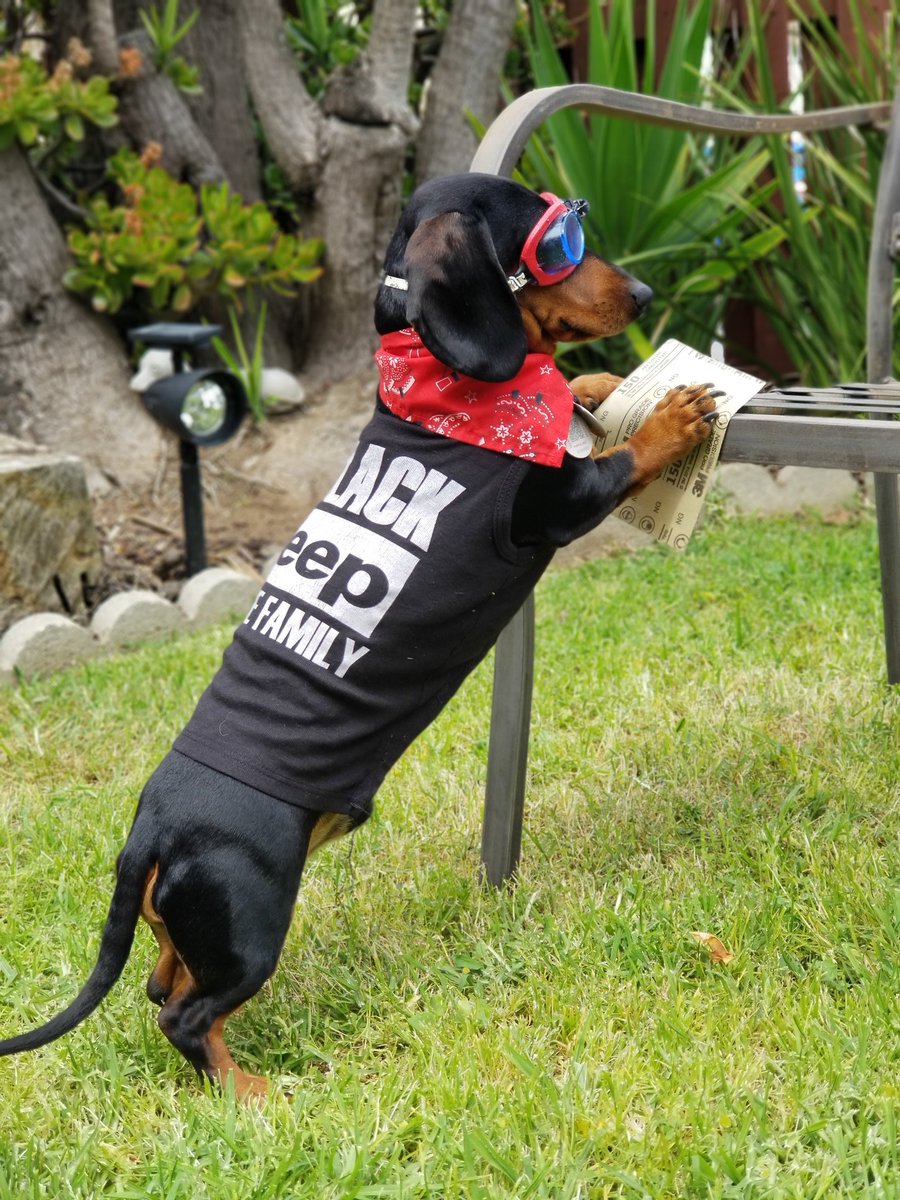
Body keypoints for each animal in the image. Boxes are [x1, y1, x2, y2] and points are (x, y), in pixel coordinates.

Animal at [0, 174, 720, 1099]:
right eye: (556, 244)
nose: (644, 294)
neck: (440, 382)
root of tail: (150, 830)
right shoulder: (561, 502)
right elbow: (622, 457)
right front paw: (672, 411)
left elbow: (577, 397)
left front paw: (598, 383)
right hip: (253, 920)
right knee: (183, 1015)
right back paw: (251, 1095)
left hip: (199, 924)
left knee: (165, 977)